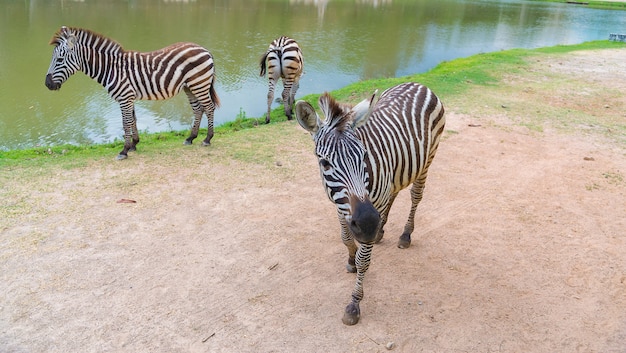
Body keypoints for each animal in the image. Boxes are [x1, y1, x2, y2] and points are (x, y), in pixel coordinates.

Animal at [45, 26, 219, 160]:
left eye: (59, 60)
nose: (47, 84)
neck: (111, 69)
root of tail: (204, 49)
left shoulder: (124, 97)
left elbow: (126, 122)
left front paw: (124, 150)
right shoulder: (129, 97)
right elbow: (133, 120)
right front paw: (134, 144)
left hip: (199, 84)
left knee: (209, 107)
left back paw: (207, 139)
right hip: (190, 87)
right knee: (198, 109)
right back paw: (191, 138)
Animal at [294, 82, 444, 324]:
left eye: (364, 155)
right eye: (325, 163)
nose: (367, 223)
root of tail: (418, 84)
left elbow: (364, 259)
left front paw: (354, 303)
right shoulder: (340, 206)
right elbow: (346, 238)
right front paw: (351, 260)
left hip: (427, 160)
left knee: (415, 196)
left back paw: (405, 234)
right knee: (394, 193)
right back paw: (381, 231)